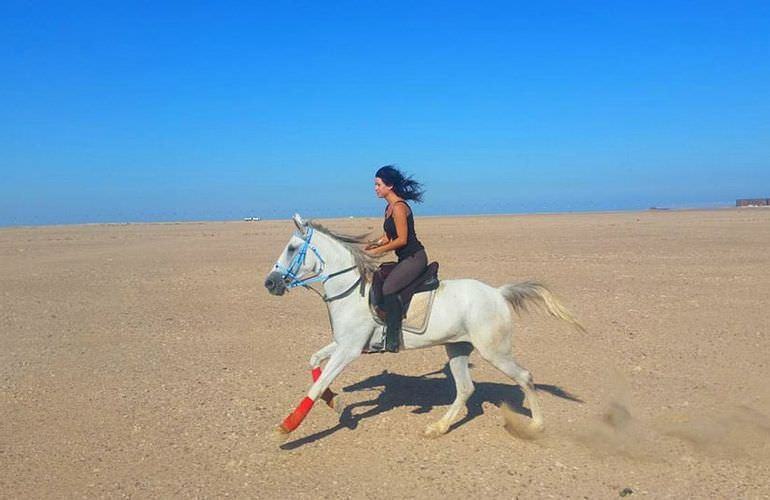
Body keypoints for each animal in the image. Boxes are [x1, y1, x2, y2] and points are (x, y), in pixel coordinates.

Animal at [264, 214, 584, 438]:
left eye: (292, 248)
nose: (270, 283)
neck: (352, 290)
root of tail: (498, 293)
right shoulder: (344, 343)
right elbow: (314, 361)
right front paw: (336, 403)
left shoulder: (349, 350)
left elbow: (316, 386)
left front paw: (287, 427)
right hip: (457, 348)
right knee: (466, 389)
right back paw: (438, 427)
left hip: (495, 351)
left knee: (525, 377)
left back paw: (537, 426)